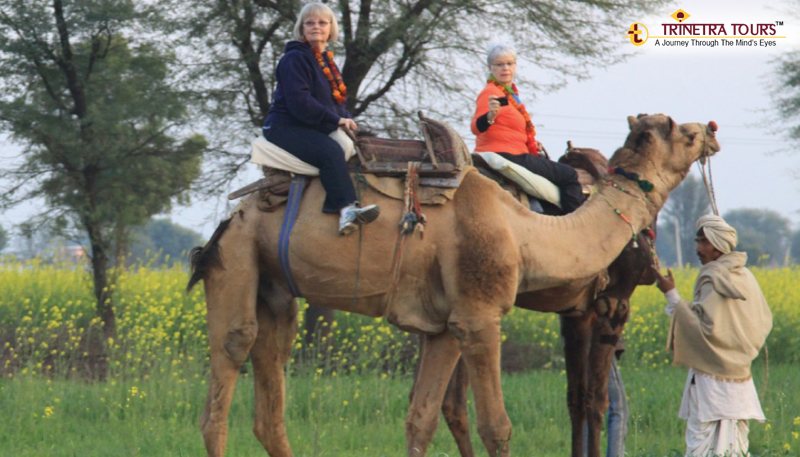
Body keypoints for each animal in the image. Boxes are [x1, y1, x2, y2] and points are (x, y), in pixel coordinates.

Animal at [186, 114, 720, 456]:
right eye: (682, 131)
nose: (713, 131)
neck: (524, 229)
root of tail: (232, 216)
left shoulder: (444, 326)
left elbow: (420, 420)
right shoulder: (483, 316)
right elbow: (499, 426)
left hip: (276, 290)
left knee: (270, 386)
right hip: (238, 262)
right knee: (225, 377)